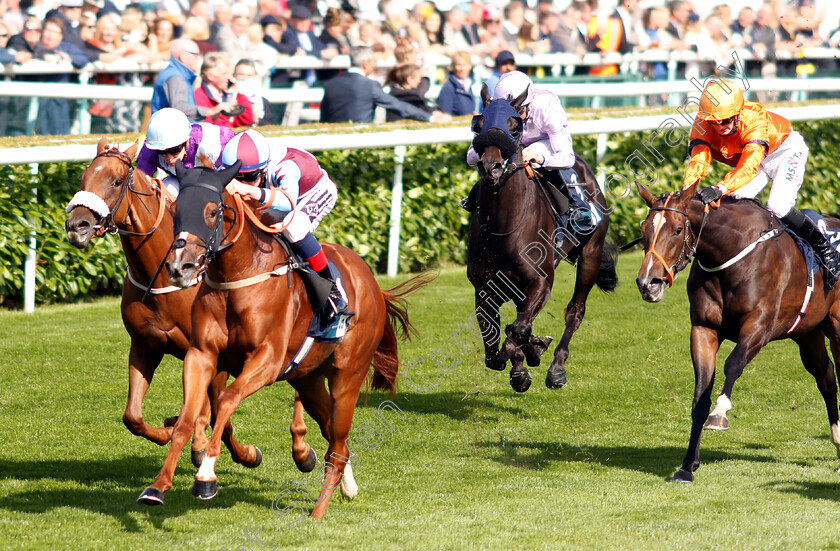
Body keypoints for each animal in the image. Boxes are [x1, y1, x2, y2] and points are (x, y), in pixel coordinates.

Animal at [138, 162, 434, 520]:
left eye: (213, 211)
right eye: (178, 211)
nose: (180, 267)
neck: (238, 274)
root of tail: (372, 284)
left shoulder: (267, 360)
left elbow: (227, 399)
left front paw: (206, 476)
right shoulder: (202, 354)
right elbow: (186, 418)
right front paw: (158, 486)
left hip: (348, 376)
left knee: (338, 441)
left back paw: (318, 511)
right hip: (308, 379)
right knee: (334, 438)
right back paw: (345, 486)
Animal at [466, 86, 616, 392]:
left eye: (515, 127)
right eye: (479, 125)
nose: (491, 167)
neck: (502, 227)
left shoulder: (541, 282)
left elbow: (519, 330)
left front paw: (530, 357)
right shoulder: (484, 288)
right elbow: (494, 351)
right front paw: (523, 362)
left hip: (591, 254)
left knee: (575, 311)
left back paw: (557, 368)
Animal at [636, 182, 840, 484]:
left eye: (677, 229)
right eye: (644, 229)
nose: (648, 283)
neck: (729, 252)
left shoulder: (759, 325)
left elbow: (733, 364)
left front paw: (720, 413)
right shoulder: (704, 329)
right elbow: (700, 396)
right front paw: (687, 466)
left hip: (836, 328)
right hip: (808, 334)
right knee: (826, 378)